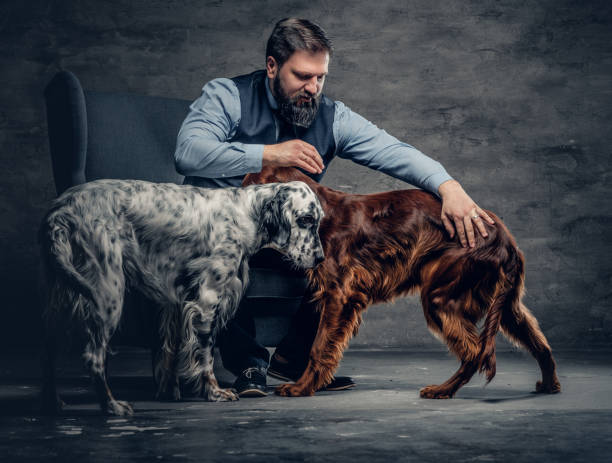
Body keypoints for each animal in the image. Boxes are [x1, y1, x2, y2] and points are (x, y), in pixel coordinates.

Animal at [39, 179, 326, 416]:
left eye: (319, 220)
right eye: (305, 219)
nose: (321, 258)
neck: (245, 214)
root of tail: (60, 211)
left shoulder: (175, 302)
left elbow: (170, 351)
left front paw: (169, 391)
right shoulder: (206, 299)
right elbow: (205, 353)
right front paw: (213, 392)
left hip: (66, 296)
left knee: (49, 349)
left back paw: (54, 403)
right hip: (107, 291)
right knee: (93, 357)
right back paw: (112, 407)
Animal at [243, 169, 560, 400]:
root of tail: (505, 239)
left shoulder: (340, 294)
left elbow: (320, 347)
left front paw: (301, 388)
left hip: (441, 297)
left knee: (475, 352)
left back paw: (442, 390)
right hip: (504, 304)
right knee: (539, 343)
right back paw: (548, 385)